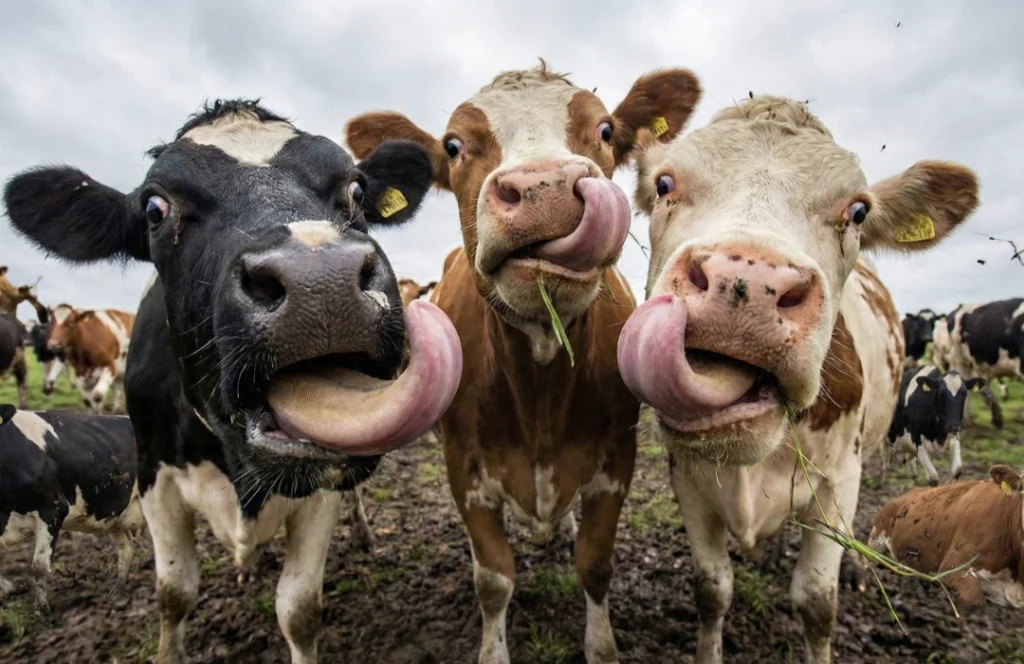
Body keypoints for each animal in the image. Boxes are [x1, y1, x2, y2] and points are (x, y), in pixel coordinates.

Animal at [0, 404, 145, 607]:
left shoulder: (52, 509)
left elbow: (39, 565)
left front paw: (40, 608)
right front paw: (15, 588)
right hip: (116, 513)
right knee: (126, 547)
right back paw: (117, 592)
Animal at [346, 60, 702, 663]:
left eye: (605, 130)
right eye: (453, 144)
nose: (545, 189)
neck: (540, 383)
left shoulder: (617, 461)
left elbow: (596, 565)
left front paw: (602, 645)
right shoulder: (462, 467)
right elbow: (494, 579)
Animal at [615, 95, 979, 663]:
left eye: (857, 211)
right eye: (665, 184)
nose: (746, 280)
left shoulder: (837, 482)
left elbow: (816, 602)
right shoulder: (688, 481)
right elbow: (712, 588)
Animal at [945, 298, 1024, 428]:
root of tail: (959, 307)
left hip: (985, 364)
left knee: (984, 387)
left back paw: (996, 418)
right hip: (960, 359)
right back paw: (967, 422)